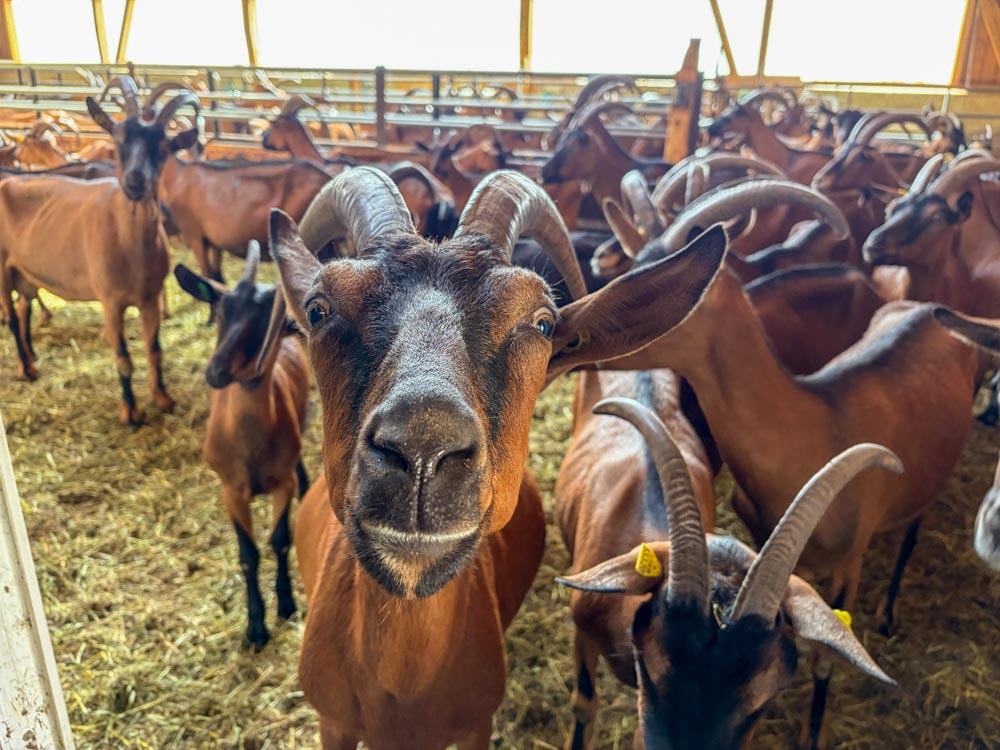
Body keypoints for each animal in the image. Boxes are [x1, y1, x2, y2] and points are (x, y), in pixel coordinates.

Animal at [0, 76, 198, 425]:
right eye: (119, 142)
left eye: (164, 149)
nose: (135, 182)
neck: (129, 242)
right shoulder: (111, 301)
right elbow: (123, 358)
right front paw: (130, 412)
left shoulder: (149, 297)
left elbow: (155, 350)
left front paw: (163, 398)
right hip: (1, 265)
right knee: (10, 317)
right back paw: (26, 369)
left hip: (27, 271)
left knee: (24, 308)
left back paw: (32, 362)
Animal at [175, 242, 310, 650]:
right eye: (223, 308)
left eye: (267, 319)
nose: (216, 370)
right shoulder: (231, 490)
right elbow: (248, 554)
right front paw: (255, 626)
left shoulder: (281, 483)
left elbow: (280, 540)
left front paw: (286, 604)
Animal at [256, 167, 725, 749]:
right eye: (318, 309)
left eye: (543, 323)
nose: (423, 441)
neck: (401, 689)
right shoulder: (334, 723)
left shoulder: (476, 725)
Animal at [600, 224, 985, 749]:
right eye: (637, 262)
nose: (570, 324)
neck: (815, 422)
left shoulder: (847, 565)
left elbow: (826, 660)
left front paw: (812, 732)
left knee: (912, 530)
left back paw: (887, 613)